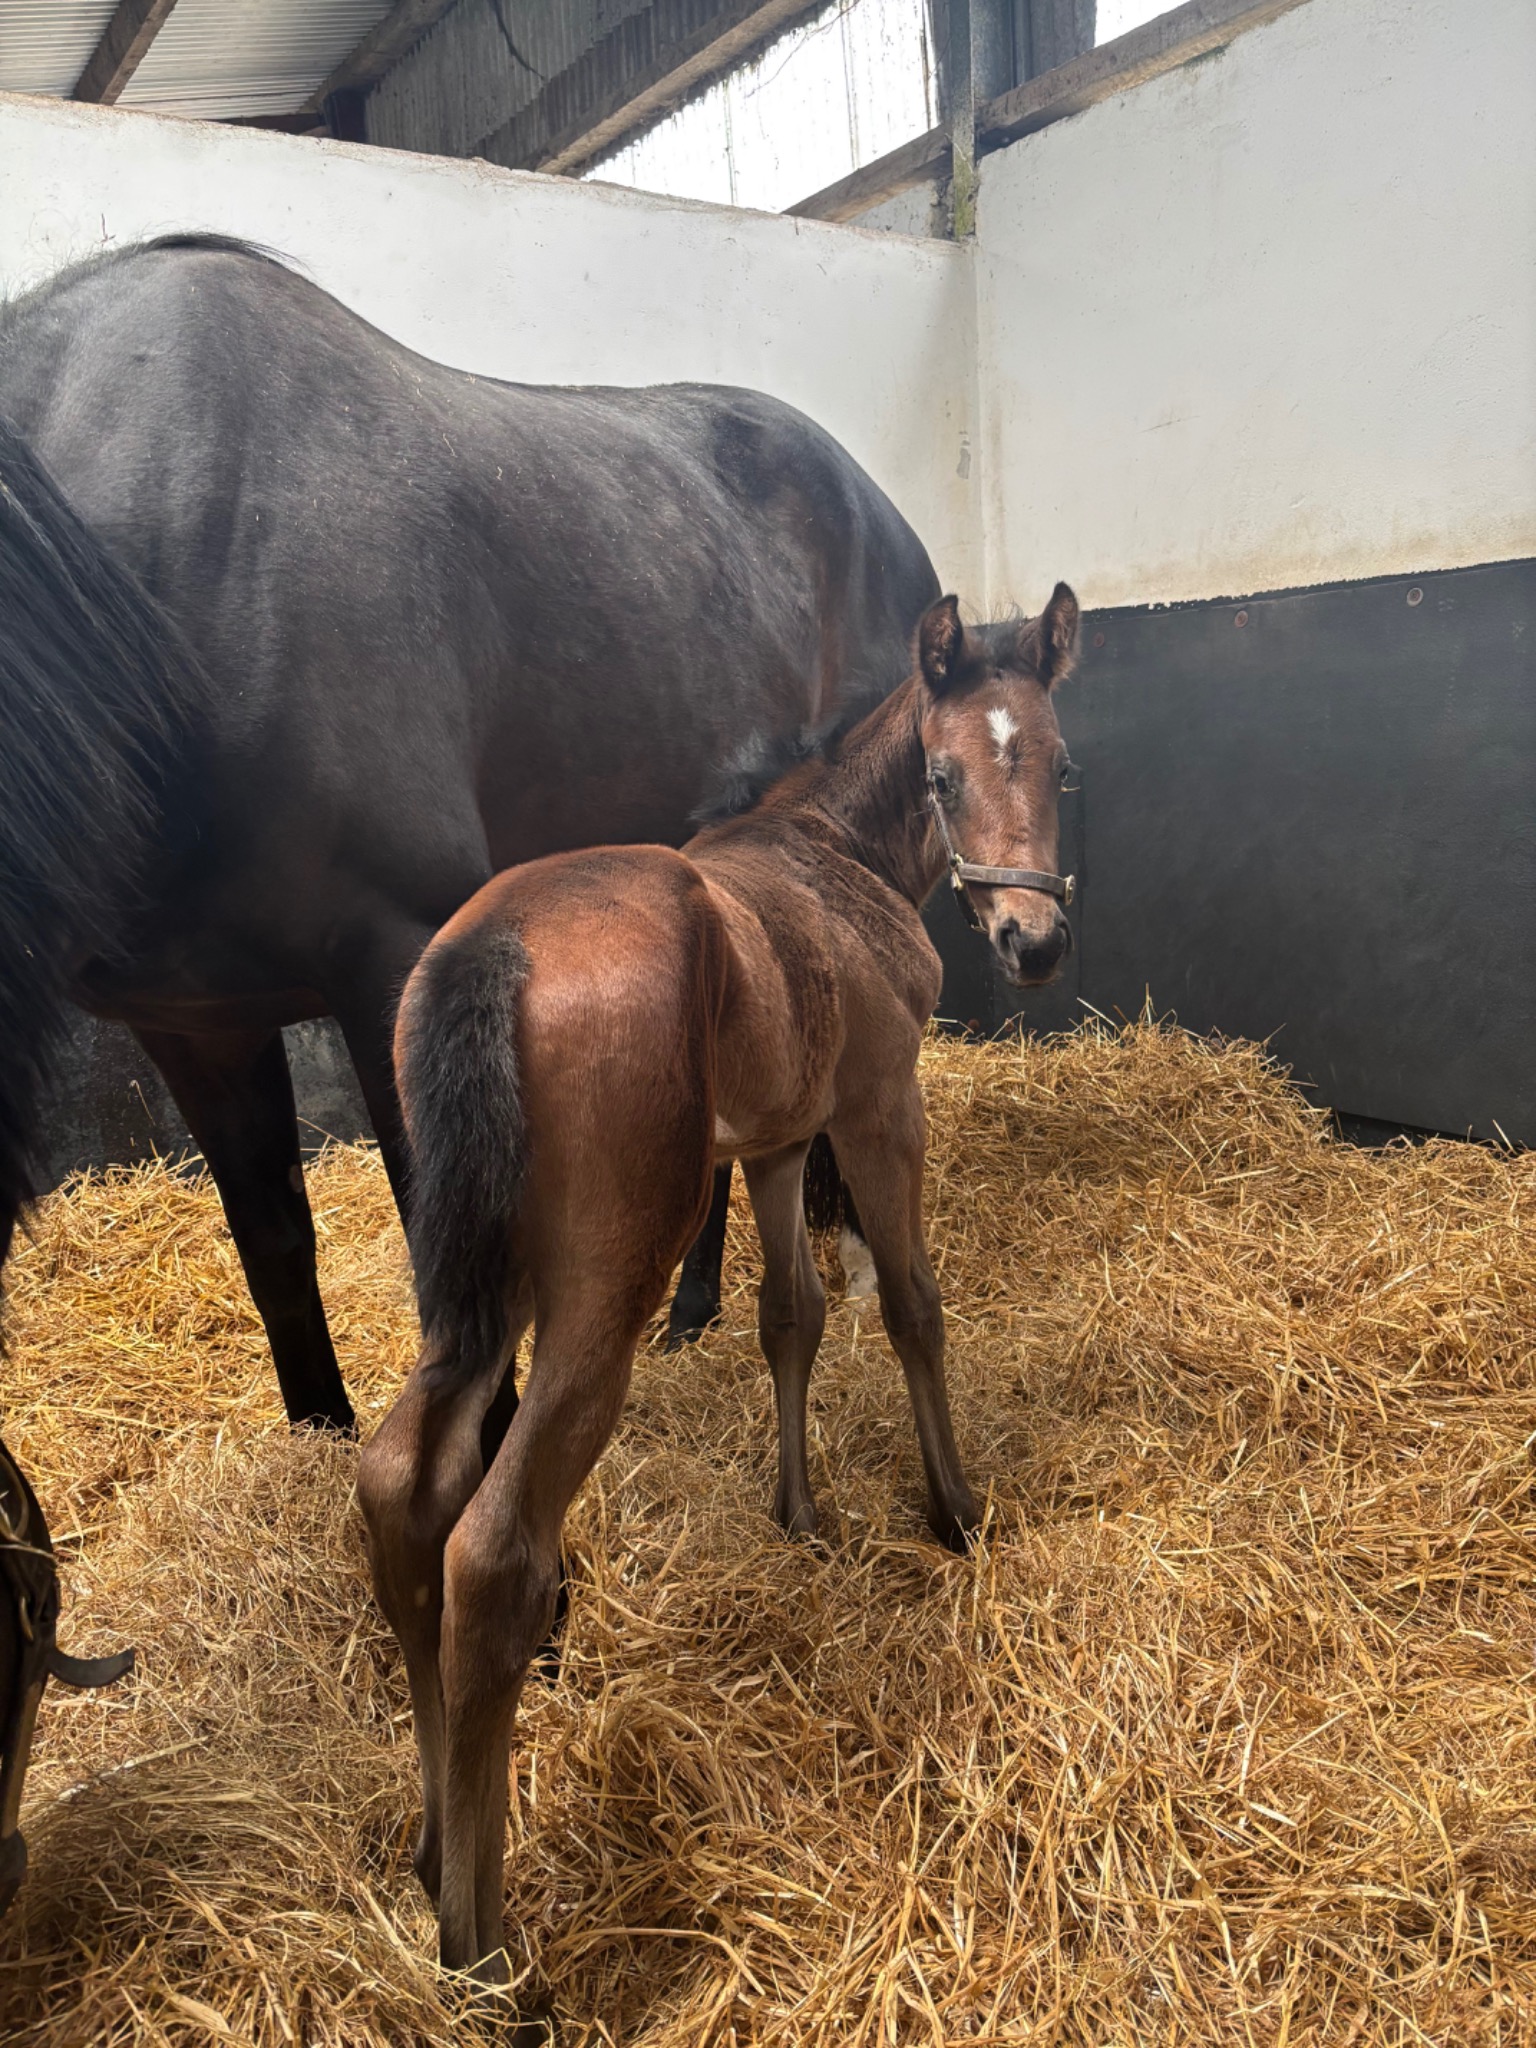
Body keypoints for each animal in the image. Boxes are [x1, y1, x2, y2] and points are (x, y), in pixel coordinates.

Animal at [0, 233, 935, 1911]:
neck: (149, 573)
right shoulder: (197, 1023)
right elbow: (278, 1256)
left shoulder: (398, 966)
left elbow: (469, 1311)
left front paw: (534, 1618)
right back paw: (692, 1314)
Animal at [358, 583, 1081, 1985]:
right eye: (944, 774)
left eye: (1063, 763)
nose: (1033, 941)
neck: (828, 855)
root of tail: (497, 948)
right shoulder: (876, 1110)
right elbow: (910, 1304)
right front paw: (955, 1506)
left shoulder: (780, 1143)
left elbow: (788, 1315)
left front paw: (799, 1512)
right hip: (601, 1287)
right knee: (494, 1548)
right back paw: (485, 1948)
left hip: (477, 1287)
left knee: (401, 1481)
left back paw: (426, 1851)